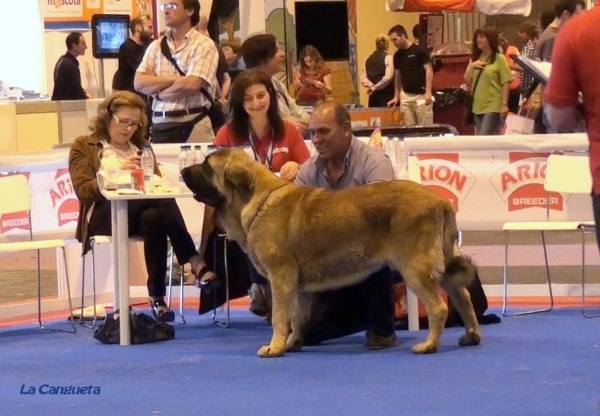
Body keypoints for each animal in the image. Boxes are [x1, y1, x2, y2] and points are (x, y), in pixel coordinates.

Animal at [180, 148, 480, 356]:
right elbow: (297, 318)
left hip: (415, 268)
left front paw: (275, 347)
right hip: (442, 264)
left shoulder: (280, 278)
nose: (182, 172)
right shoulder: (298, 287)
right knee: (463, 297)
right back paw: (471, 335)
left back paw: (428, 345)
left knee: (439, 307)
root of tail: (440, 201)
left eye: (206, 166)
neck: (255, 197)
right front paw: (292, 343)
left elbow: (279, 317)